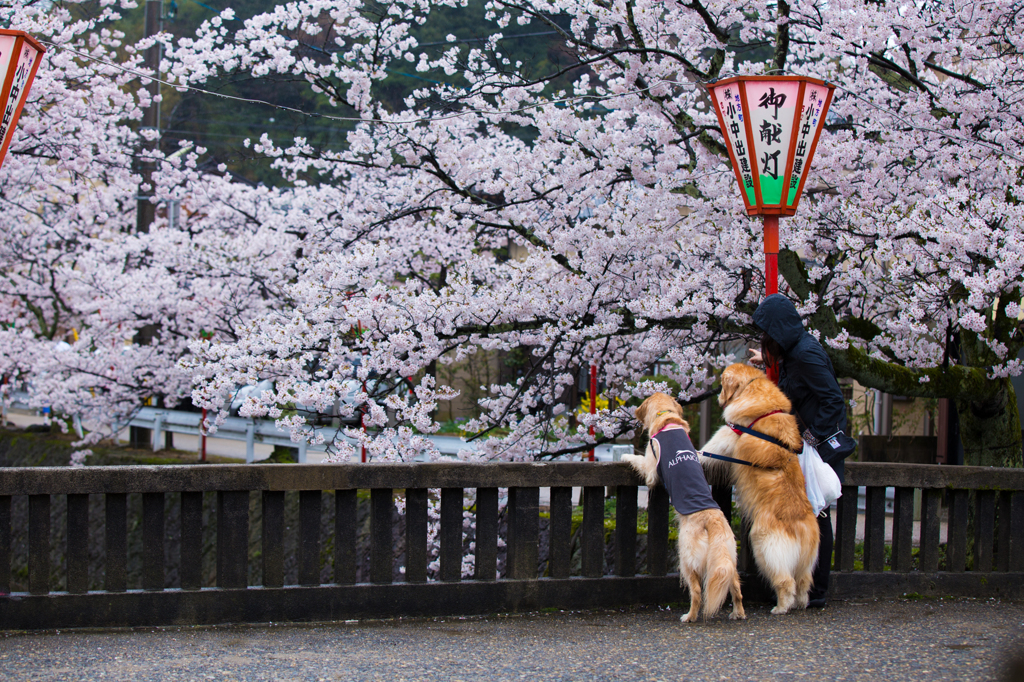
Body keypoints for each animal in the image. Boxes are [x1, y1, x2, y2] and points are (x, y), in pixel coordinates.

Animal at [618, 393, 749, 622]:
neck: (667, 418)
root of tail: (711, 519)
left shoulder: (651, 470)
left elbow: (638, 460)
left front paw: (625, 456)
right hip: (727, 555)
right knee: (735, 586)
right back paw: (737, 613)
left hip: (687, 557)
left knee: (696, 591)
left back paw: (689, 616)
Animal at [700, 364, 819, 614]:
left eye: (722, 384)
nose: (718, 398)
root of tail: (802, 524)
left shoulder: (729, 433)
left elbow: (708, 448)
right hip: (806, 561)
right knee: (803, 583)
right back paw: (801, 604)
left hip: (764, 545)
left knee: (786, 581)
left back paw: (781, 607)